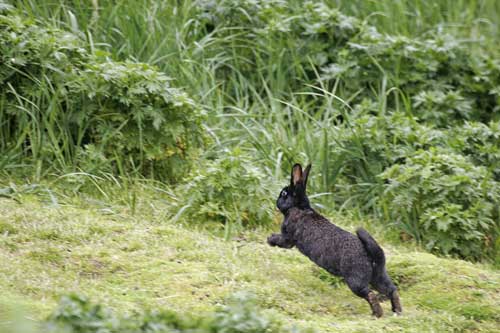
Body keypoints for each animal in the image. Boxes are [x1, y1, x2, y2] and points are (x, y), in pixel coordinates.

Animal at [266, 163, 402, 316]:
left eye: (284, 194)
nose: (277, 201)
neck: (299, 207)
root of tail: (372, 256)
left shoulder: (288, 238)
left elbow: (281, 240)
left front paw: (270, 239)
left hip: (355, 280)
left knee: (370, 294)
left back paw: (377, 314)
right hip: (377, 277)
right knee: (391, 290)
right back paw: (397, 311)